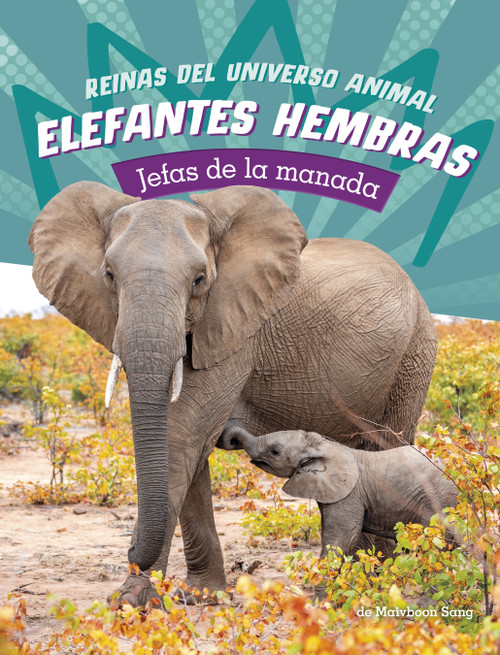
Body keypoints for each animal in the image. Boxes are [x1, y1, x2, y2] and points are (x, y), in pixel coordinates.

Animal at [217, 425, 457, 558]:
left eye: (274, 451)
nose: (226, 437)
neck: (324, 445)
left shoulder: (349, 494)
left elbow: (341, 539)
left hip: (439, 499)